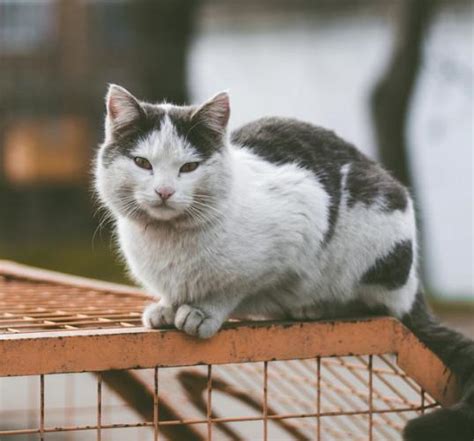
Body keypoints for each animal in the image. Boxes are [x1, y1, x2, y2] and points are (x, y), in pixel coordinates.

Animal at [95, 84, 474, 438]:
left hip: (376, 238)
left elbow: (233, 287)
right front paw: (166, 307)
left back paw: (316, 307)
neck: (168, 240)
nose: (164, 192)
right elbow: (174, 293)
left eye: (189, 167)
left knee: (376, 304)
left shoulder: (297, 225)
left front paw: (203, 311)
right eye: (143, 163)